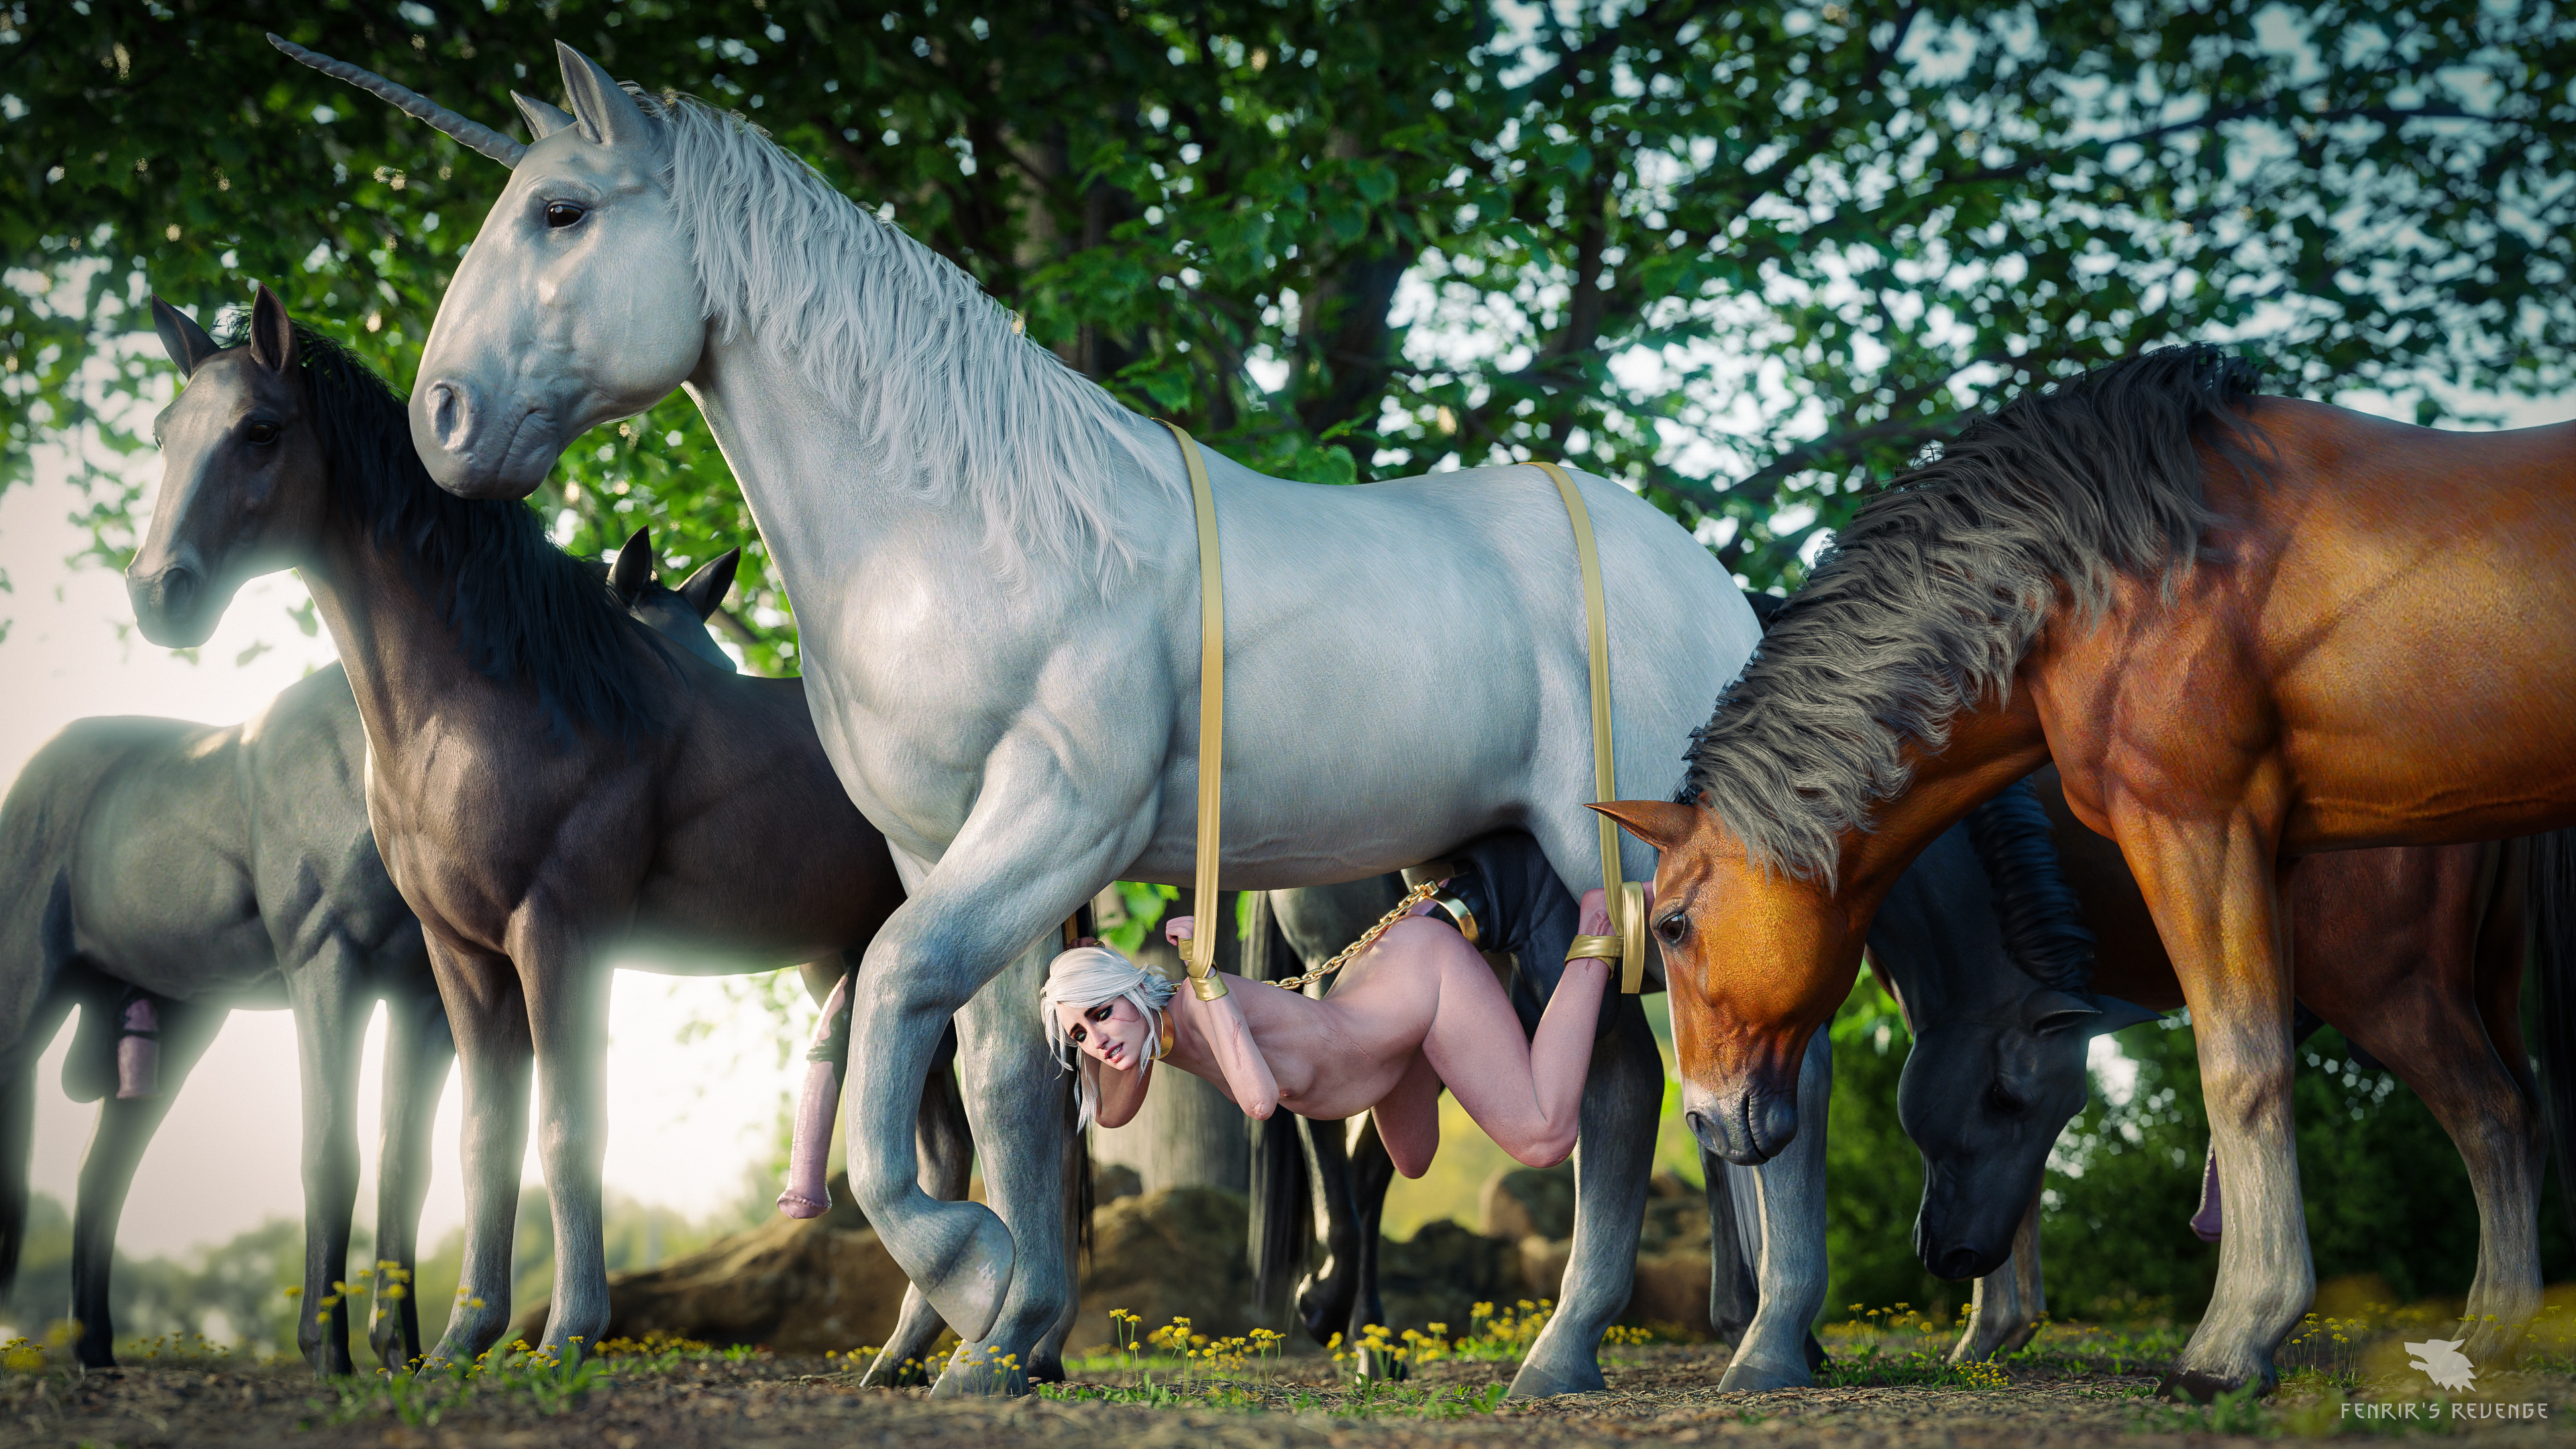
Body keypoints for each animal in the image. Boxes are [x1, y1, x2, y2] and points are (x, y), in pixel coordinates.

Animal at [122, 286, 1071, 1378]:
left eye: (260, 431)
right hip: (855, 962)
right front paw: (462, 1341)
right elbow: (484, 1137)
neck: (492, 705)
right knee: (951, 1145)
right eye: (165, 432)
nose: (158, 592)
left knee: (1010, 1124)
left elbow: (570, 1127)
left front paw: (567, 1336)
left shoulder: (560, 932)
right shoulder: (460, 956)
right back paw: (922, 1357)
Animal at [283, 40, 1756, 1393]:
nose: (443, 419)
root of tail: (1706, 577)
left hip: (1615, 860)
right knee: (1620, 1088)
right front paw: (1004, 1341)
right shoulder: (944, 845)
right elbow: (1001, 1085)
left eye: (563, 211)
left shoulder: (1053, 822)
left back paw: (1732, 1348)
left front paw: (974, 1277)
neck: (969, 536)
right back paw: (1569, 1354)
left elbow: (898, 999)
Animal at [1593, 345, 2576, 1395]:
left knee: (2492, 1115)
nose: (1708, 1117)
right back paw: (2489, 1338)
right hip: (2468, 980)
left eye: (1672, 923)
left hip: (2388, 985)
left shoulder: (2194, 826)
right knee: (2517, 1115)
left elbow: (2240, 1071)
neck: (2110, 576)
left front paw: (2230, 1342)